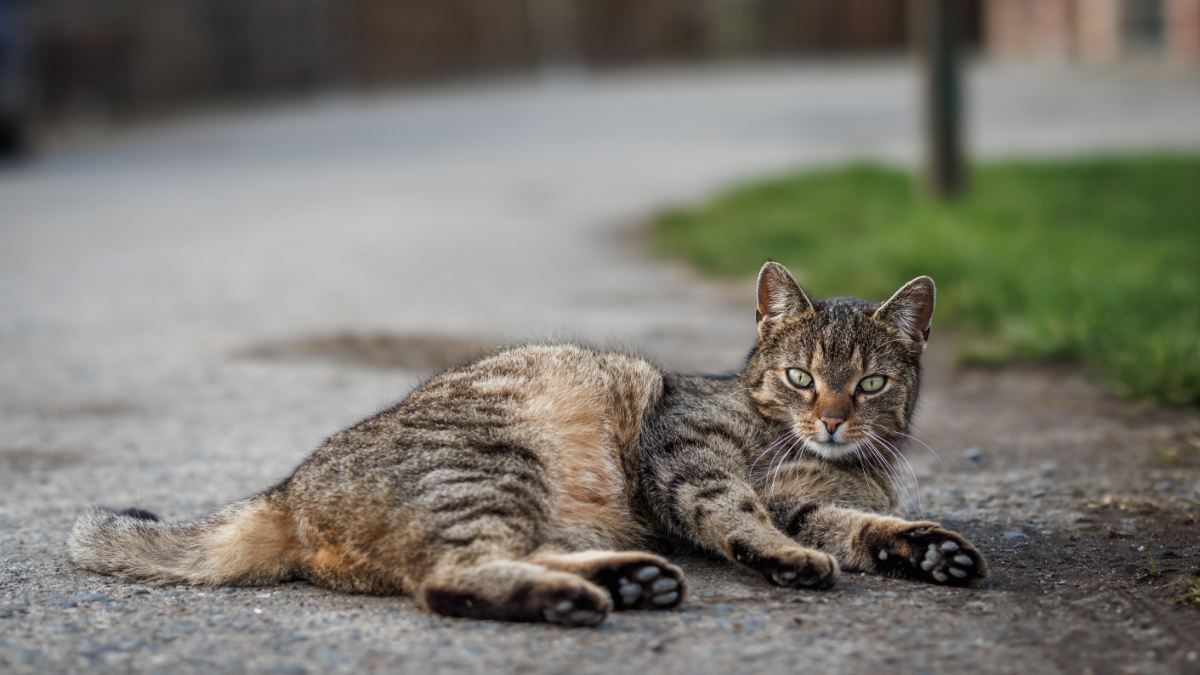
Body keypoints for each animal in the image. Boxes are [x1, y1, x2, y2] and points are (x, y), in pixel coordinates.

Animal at [68, 260, 984, 624]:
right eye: (801, 376)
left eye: (871, 384)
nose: (830, 418)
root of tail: (285, 490)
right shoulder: (691, 457)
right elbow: (740, 515)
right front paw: (787, 559)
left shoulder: (813, 501)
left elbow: (863, 526)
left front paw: (927, 546)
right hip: (490, 463)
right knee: (447, 577)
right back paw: (579, 598)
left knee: (499, 556)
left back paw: (630, 579)